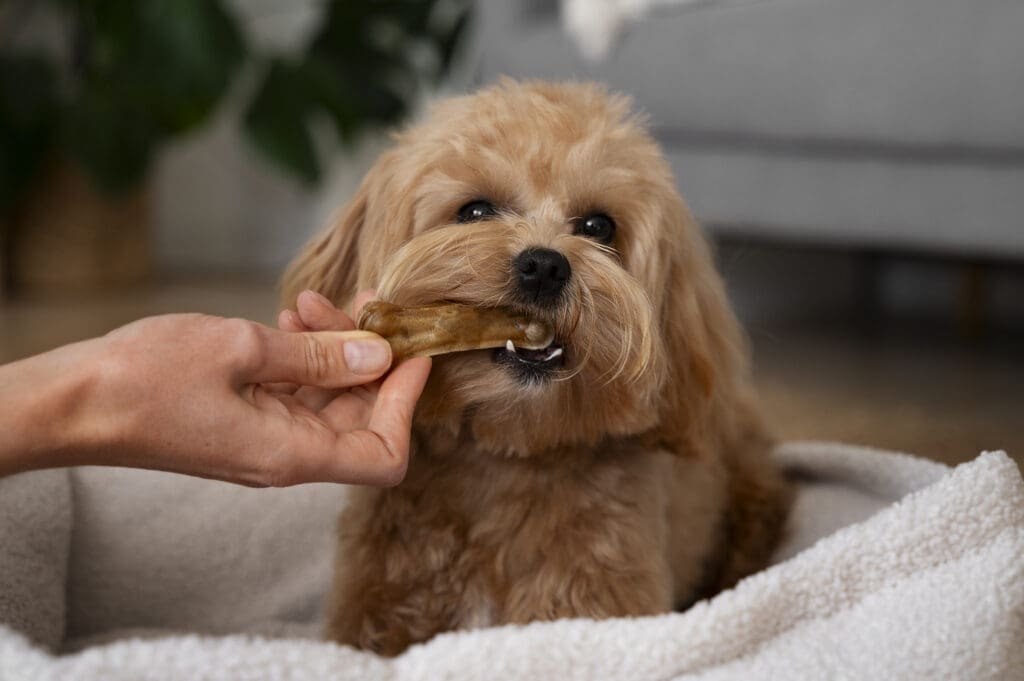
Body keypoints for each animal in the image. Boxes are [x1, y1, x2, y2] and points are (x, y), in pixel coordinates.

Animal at [280, 80, 790, 659]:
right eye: (475, 211)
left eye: (599, 226)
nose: (545, 265)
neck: (505, 456)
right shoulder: (374, 614)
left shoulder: (590, 614)